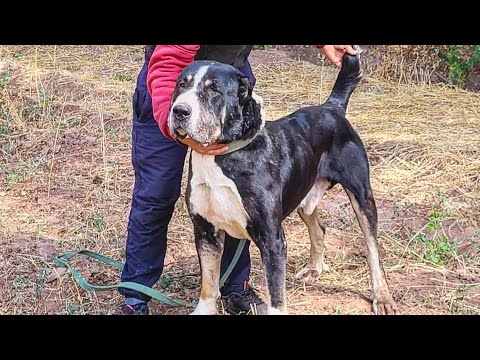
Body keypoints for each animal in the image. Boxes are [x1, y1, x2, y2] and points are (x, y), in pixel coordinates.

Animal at [167, 48, 396, 316]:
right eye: (182, 84)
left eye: (214, 90)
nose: (180, 111)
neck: (222, 156)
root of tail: (332, 107)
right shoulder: (205, 232)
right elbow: (208, 285)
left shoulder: (272, 239)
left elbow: (276, 295)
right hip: (304, 196)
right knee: (319, 228)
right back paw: (314, 268)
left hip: (362, 196)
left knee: (372, 250)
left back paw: (382, 297)